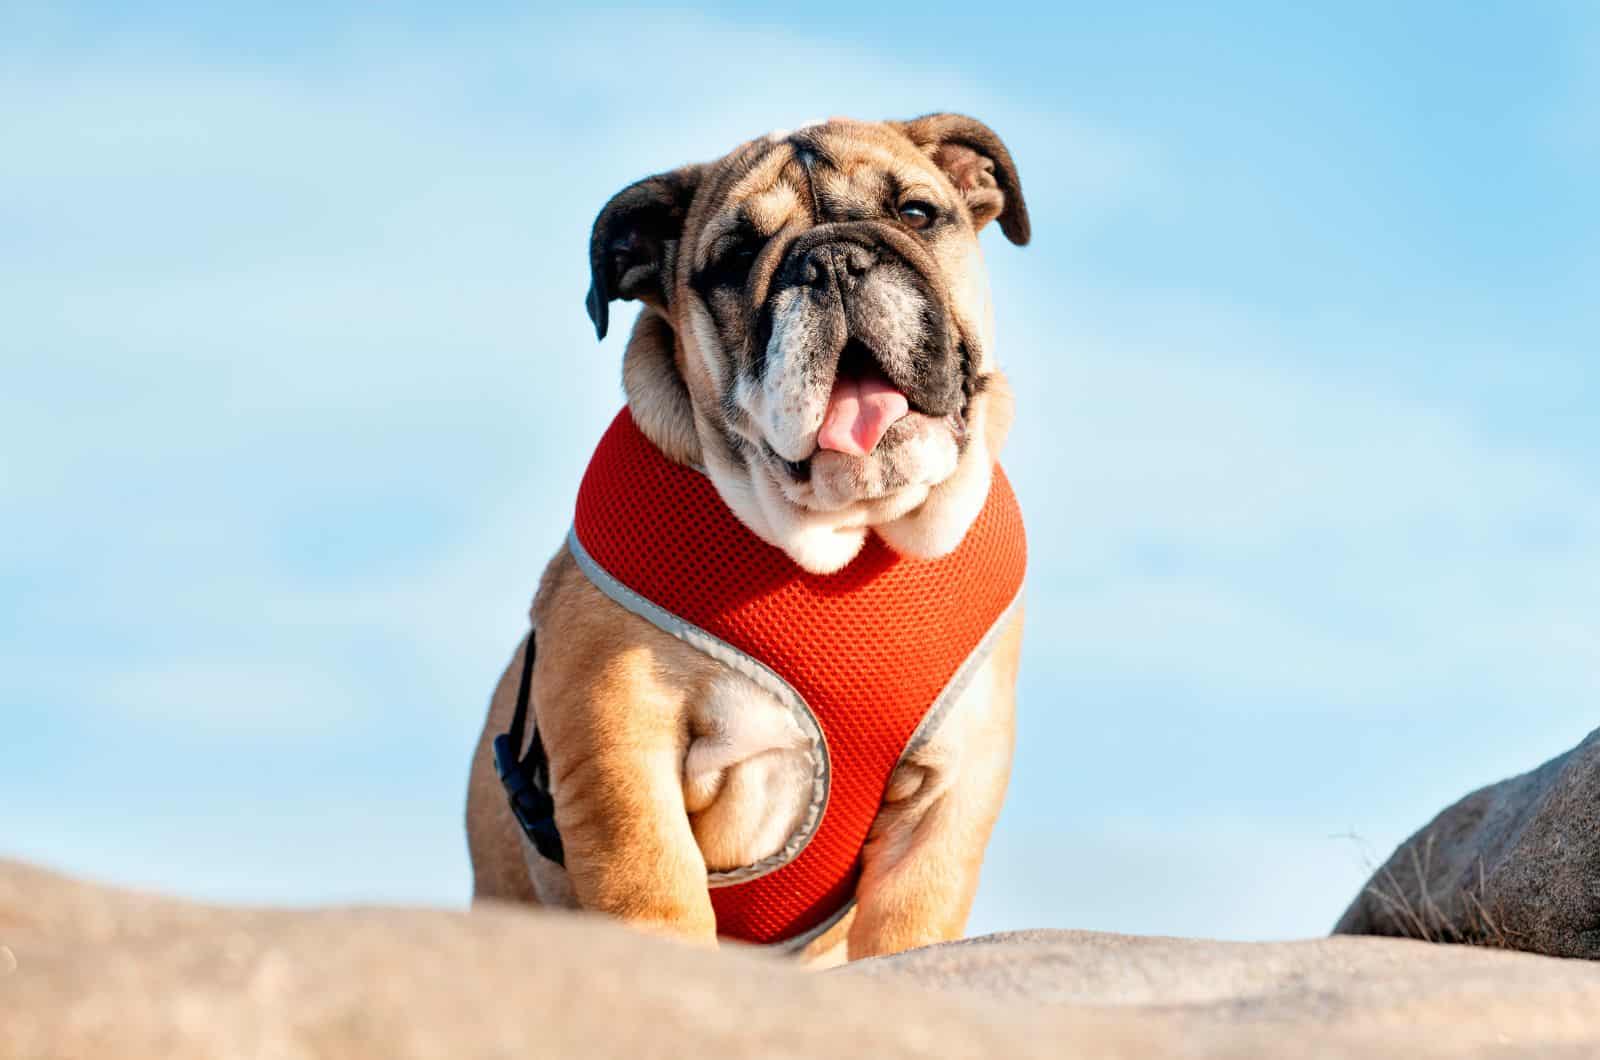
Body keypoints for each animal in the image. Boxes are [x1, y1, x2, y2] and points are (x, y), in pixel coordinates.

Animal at [467, 112, 1030, 967]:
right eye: (734, 259)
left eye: (916, 213)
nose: (833, 259)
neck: (845, 536)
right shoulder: (620, 746)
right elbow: (653, 887)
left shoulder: (952, 788)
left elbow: (910, 925)